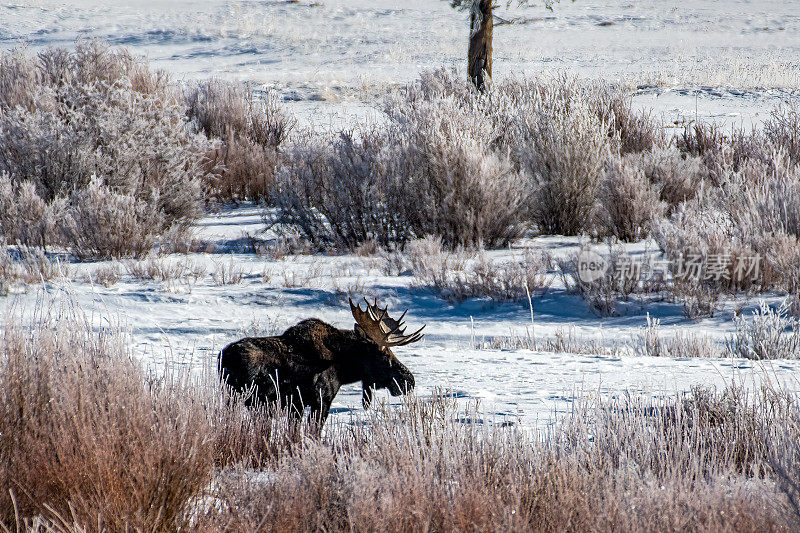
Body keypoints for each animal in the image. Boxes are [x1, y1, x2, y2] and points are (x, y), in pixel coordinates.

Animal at [216, 298, 422, 426]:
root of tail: (222, 358)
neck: (344, 369)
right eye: (384, 355)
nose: (409, 380)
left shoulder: (297, 407)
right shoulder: (321, 401)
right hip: (237, 398)